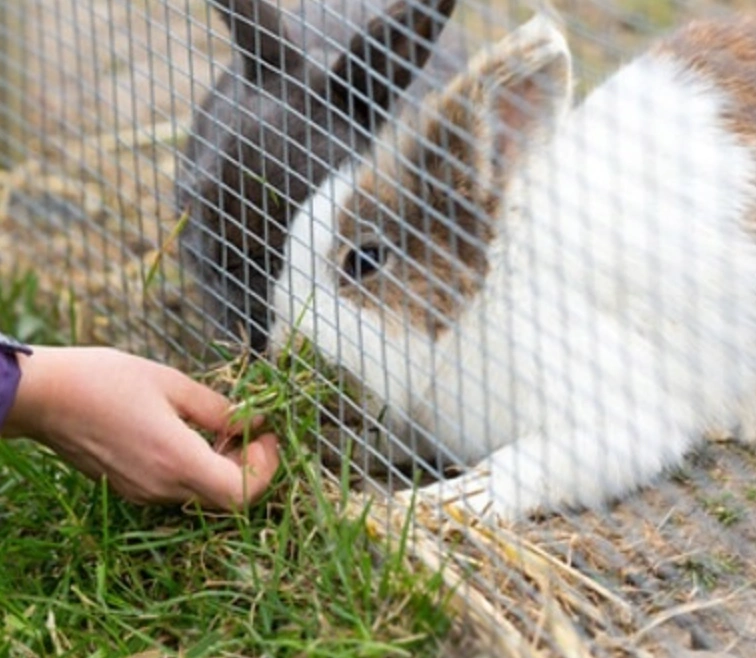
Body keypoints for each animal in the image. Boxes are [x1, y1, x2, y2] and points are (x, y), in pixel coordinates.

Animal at [270, 13, 756, 521]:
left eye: (364, 260)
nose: (285, 345)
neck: (486, 297)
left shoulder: (611, 416)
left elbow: (530, 462)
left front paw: (452, 500)